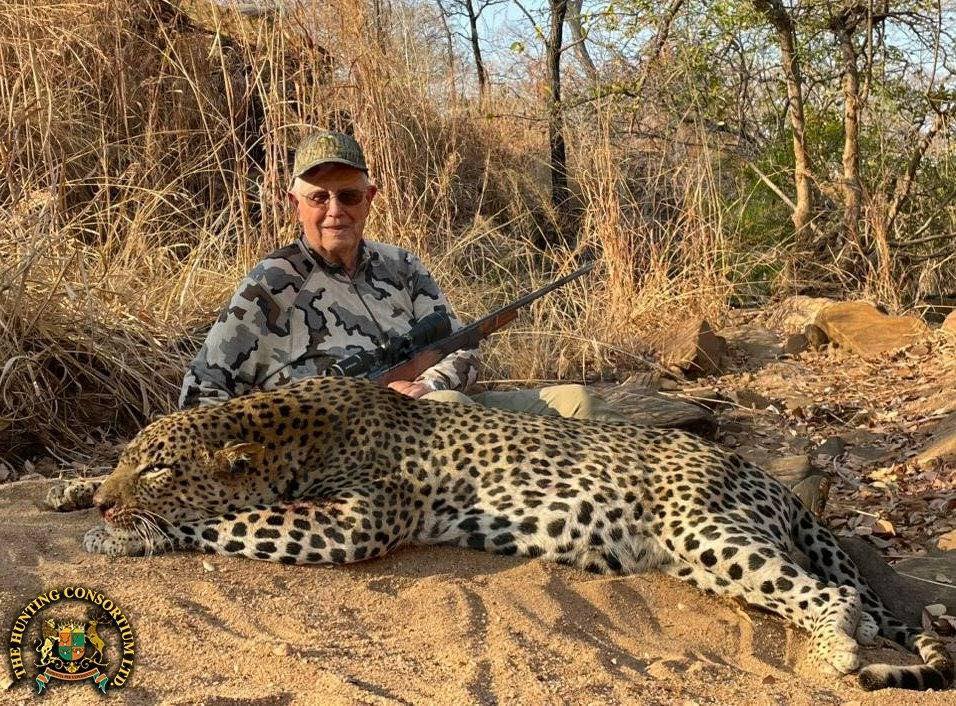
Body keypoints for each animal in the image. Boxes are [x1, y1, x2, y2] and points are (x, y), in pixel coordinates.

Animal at [49, 376, 953, 692]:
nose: (110, 503)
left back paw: (835, 653)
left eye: (161, 469)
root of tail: (761, 474)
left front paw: (126, 536)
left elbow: (229, 519)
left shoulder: (352, 524)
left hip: (702, 527)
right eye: (127, 455)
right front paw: (77, 488)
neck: (286, 428)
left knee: (829, 591)